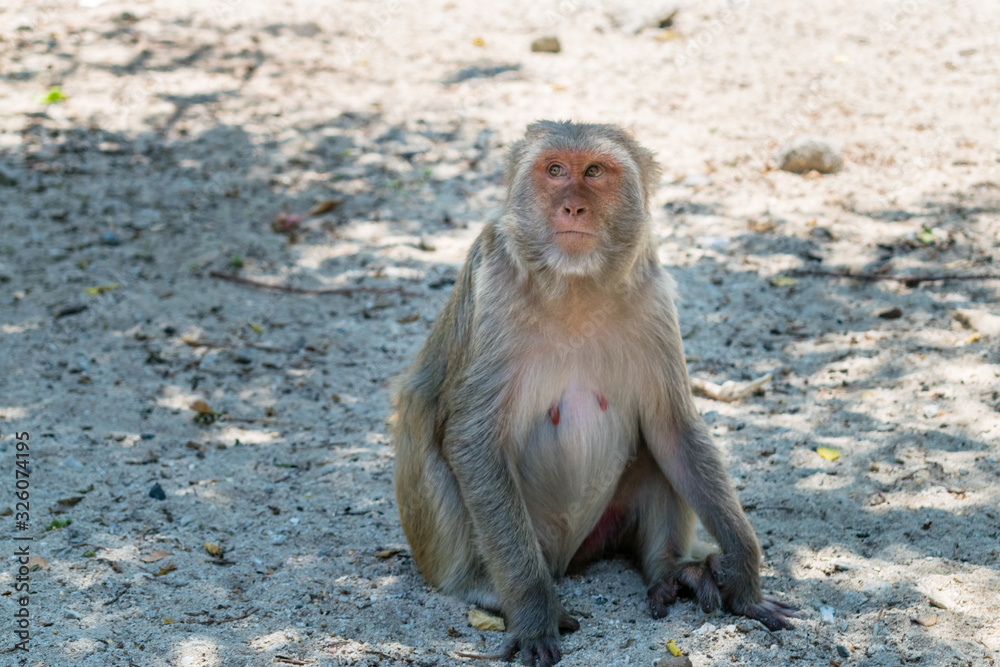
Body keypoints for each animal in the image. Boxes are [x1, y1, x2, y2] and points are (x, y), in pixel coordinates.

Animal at [392, 122, 796, 664]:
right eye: (555, 169)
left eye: (595, 172)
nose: (573, 208)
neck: (574, 285)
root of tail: (567, 559)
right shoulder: (492, 285)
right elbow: (471, 441)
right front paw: (532, 612)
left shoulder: (653, 295)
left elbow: (674, 429)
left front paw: (744, 575)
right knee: (429, 433)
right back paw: (486, 588)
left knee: (659, 448)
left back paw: (670, 570)